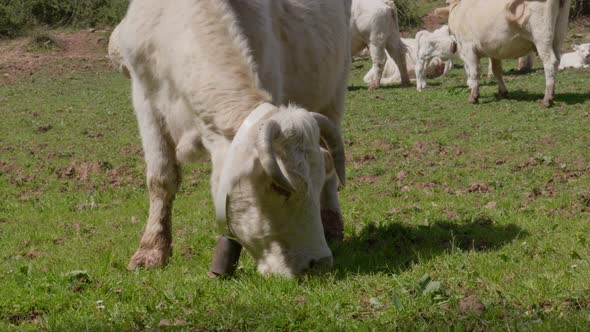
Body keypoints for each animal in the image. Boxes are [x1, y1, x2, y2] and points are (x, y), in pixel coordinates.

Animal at [118, 0, 354, 276]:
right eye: (278, 186)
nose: (319, 262)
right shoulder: (145, 101)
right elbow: (160, 179)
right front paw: (151, 251)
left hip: (335, 93)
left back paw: (333, 227)